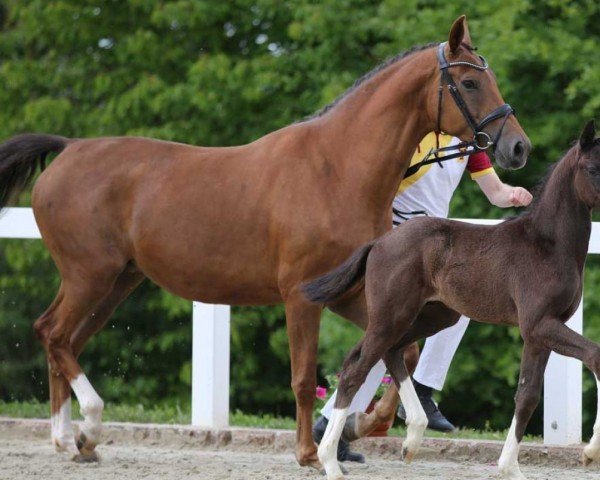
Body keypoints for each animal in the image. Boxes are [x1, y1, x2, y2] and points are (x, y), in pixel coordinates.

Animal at [0, 16, 528, 466]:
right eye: (469, 83)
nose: (518, 147)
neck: (336, 170)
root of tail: (69, 149)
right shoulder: (301, 296)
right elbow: (304, 376)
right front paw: (311, 452)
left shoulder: (350, 293)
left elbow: (400, 353)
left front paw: (364, 426)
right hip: (90, 276)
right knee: (53, 334)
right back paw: (86, 426)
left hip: (116, 283)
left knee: (64, 341)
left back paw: (71, 440)